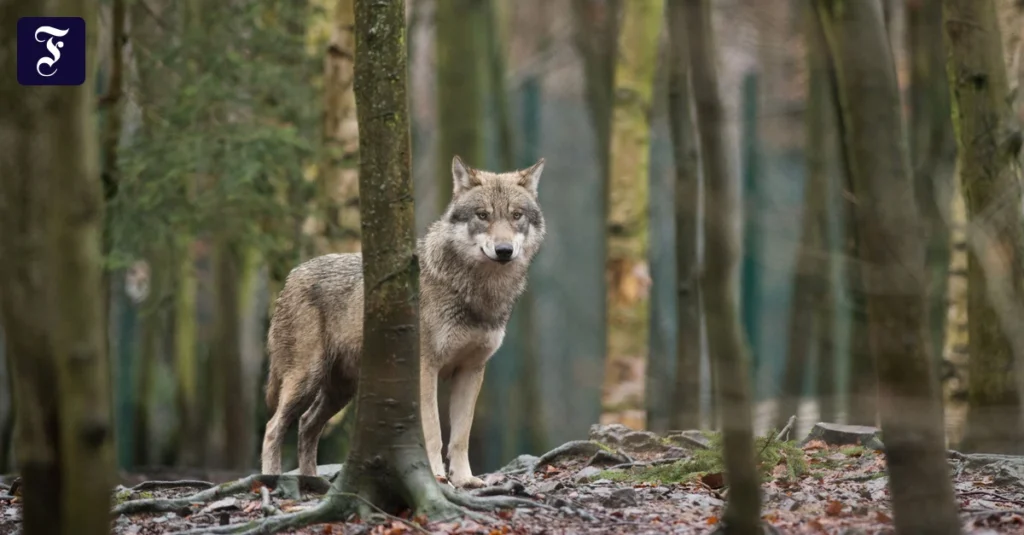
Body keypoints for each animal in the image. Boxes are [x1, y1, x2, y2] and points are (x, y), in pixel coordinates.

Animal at [260, 155, 546, 488]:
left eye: (516, 216)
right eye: (482, 215)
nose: (504, 250)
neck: (476, 292)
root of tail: (292, 275)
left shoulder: (471, 370)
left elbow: (460, 436)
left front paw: (465, 480)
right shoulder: (426, 369)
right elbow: (433, 432)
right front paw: (436, 477)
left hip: (340, 391)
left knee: (306, 425)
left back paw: (312, 482)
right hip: (306, 379)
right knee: (273, 427)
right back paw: (271, 479)